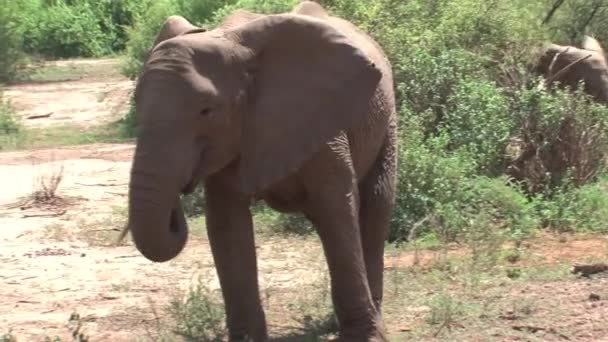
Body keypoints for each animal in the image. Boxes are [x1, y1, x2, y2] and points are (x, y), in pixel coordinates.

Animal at [126, 1, 396, 340]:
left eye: (206, 111)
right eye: (137, 103)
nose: (179, 197)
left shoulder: (321, 119)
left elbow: (337, 208)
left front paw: (365, 337)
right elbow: (227, 224)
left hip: (386, 117)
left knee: (376, 202)